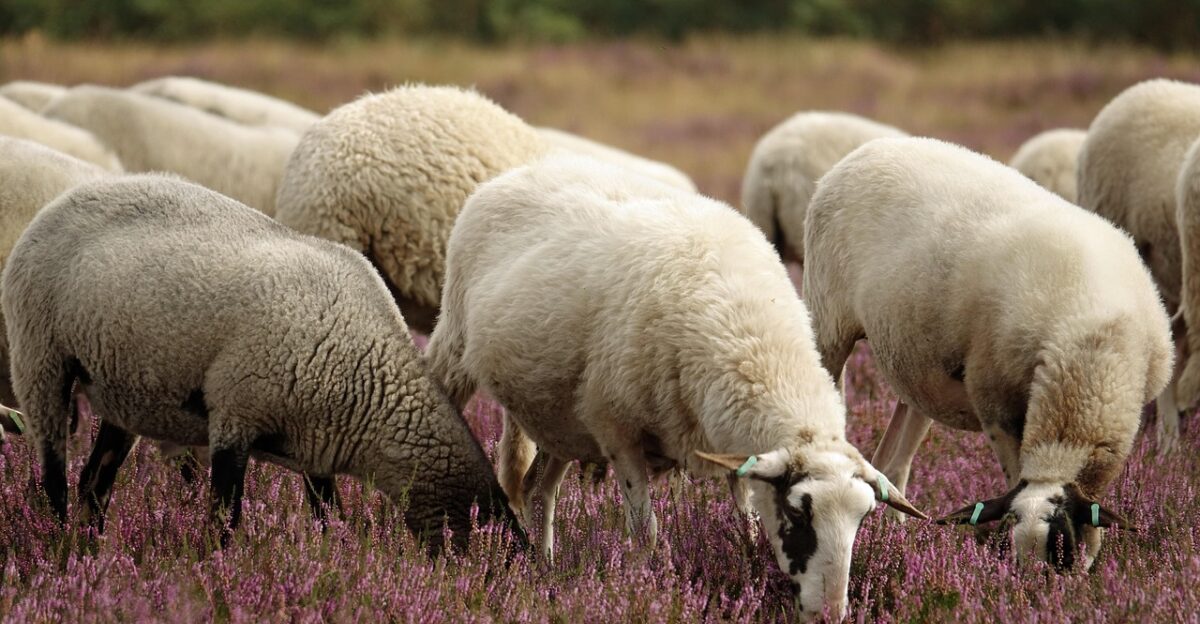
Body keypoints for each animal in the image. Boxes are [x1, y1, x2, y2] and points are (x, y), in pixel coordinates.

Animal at [1, 174, 524, 551]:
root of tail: (64, 200)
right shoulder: (235, 415)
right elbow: (224, 519)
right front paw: (214, 569)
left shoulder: (317, 448)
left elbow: (330, 520)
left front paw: (332, 563)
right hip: (40, 357)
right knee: (53, 475)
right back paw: (56, 545)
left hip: (122, 391)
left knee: (93, 485)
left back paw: (90, 552)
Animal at [425, 153, 926, 621]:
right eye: (798, 513)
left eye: (862, 518)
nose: (832, 613)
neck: (752, 337)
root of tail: (521, 172)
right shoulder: (618, 431)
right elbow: (645, 533)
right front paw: (638, 590)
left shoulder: (727, 444)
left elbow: (745, 521)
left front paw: (747, 564)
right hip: (455, 341)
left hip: (559, 415)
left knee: (535, 490)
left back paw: (545, 569)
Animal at [804, 137, 1170, 571]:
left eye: (1060, 548)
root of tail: (871, 147)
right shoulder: (996, 402)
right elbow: (1014, 478)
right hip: (827, 321)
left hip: (920, 367)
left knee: (894, 459)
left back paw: (894, 536)